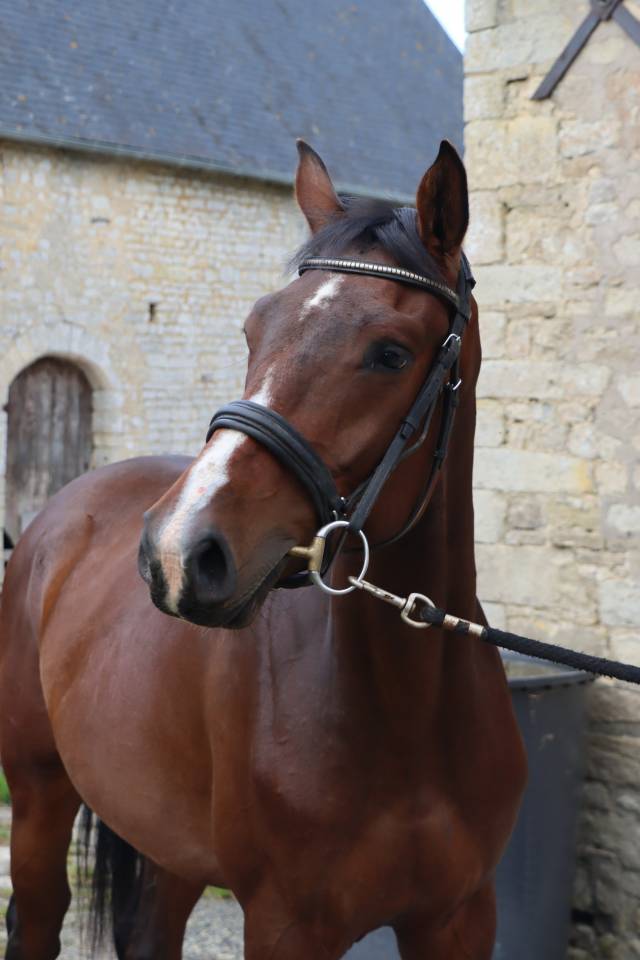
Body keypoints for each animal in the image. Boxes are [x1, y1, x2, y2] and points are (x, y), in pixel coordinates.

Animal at [0, 139, 527, 959]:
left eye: (391, 353)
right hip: (38, 792)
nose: (178, 551)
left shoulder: (461, 918)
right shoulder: (287, 924)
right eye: (254, 328)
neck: (409, 718)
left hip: (170, 841)